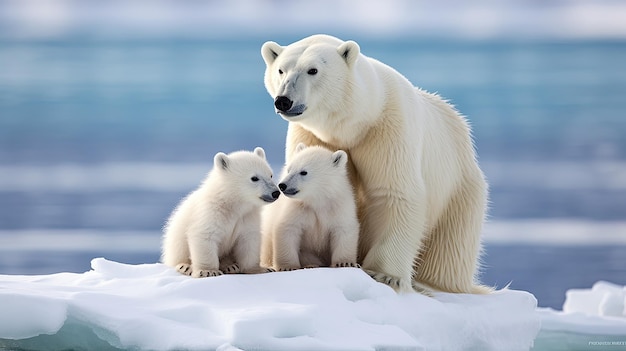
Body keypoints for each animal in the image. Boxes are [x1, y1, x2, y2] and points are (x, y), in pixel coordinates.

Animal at [161, 148, 278, 278]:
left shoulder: (247, 217)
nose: (276, 192)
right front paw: (207, 271)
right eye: (254, 178)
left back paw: (231, 266)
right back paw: (185, 267)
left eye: (270, 174)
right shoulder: (210, 213)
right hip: (175, 242)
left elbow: (248, 241)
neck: (231, 204)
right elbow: (205, 236)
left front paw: (261, 269)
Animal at [260, 144, 358, 272]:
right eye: (289, 169)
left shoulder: (338, 207)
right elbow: (288, 229)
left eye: (303, 172)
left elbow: (344, 229)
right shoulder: (298, 209)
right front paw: (288, 266)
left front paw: (344, 263)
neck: (316, 200)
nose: (282, 185)